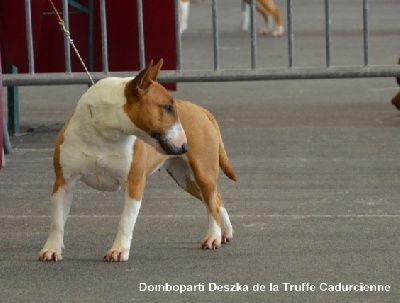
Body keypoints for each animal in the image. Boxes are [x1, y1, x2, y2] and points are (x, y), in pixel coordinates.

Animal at [38, 60, 236, 262]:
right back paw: (224, 232)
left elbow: (126, 221)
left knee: (211, 202)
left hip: (203, 172)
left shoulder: (134, 182)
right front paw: (52, 249)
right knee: (216, 198)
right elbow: (57, 221)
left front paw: (118, 250)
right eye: (167, 107)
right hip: (184, 177)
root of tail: (201, 110)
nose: (184, 146)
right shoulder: (64, 182)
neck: (105, 133)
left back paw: (213, 237)